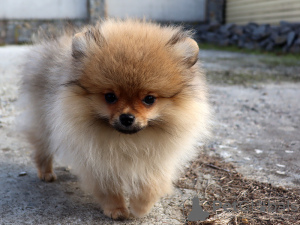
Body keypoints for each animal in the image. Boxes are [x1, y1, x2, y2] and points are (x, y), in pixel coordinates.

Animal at [19, 19, 211, 220]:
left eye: (149, 99)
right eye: (110, 97)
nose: (127, 117)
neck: (128, 141)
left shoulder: (157, 159)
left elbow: (151, 183)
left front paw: (140, 207)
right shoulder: (99, 159)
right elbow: (108, 186)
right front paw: (117, 209)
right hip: (43, 121)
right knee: (42, 146)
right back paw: (46, 172)